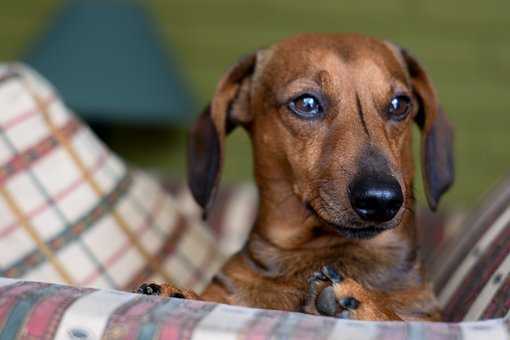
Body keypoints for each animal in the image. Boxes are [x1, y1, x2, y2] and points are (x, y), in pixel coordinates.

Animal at [138, 32, 454, 322]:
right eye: (307, 103)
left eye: (400, 104)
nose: (380, 200)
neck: (316, 251)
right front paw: (179, 293)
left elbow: (395, 318)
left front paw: (365, 303)